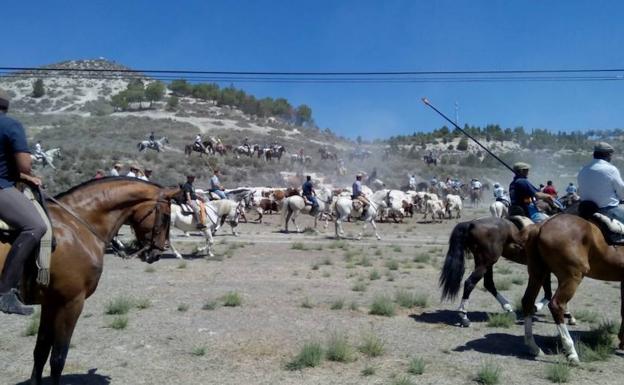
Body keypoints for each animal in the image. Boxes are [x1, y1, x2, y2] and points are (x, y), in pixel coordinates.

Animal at [0, 177, 180, 384]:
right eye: (166, 216)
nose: (156, 254)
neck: (76, 226)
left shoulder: (51, 303)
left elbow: (41, 352)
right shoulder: (71, 303)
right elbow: (58, 358)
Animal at [436, 218, 572, 326]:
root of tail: (472, 223)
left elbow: (550, 293)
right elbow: (550, 294)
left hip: (486, 263)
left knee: (488, 284)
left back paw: (508, 308)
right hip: (486, 263)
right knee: (470, 283)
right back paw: (464, 316)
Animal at [520, 213, 624, 364]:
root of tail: (541, 226)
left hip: (537, 273)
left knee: (528, 302)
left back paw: (534, 347)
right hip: (572, 277)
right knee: (556, 305)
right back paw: (572, 353)